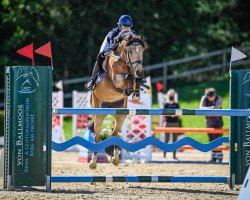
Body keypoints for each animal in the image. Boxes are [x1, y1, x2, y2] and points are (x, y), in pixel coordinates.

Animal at [89, 30, 147, 170]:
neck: (124, 60)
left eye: (142, 50)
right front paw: (130, 85)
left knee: (114, 135)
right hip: (98, 114)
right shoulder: (117, 80)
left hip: (121, 114)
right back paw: (93, 163)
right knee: (97, 136)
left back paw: (115, 159)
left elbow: (134, 79)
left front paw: (135, 91)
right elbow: (126, 78)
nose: (140, 71)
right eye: (130, 51)